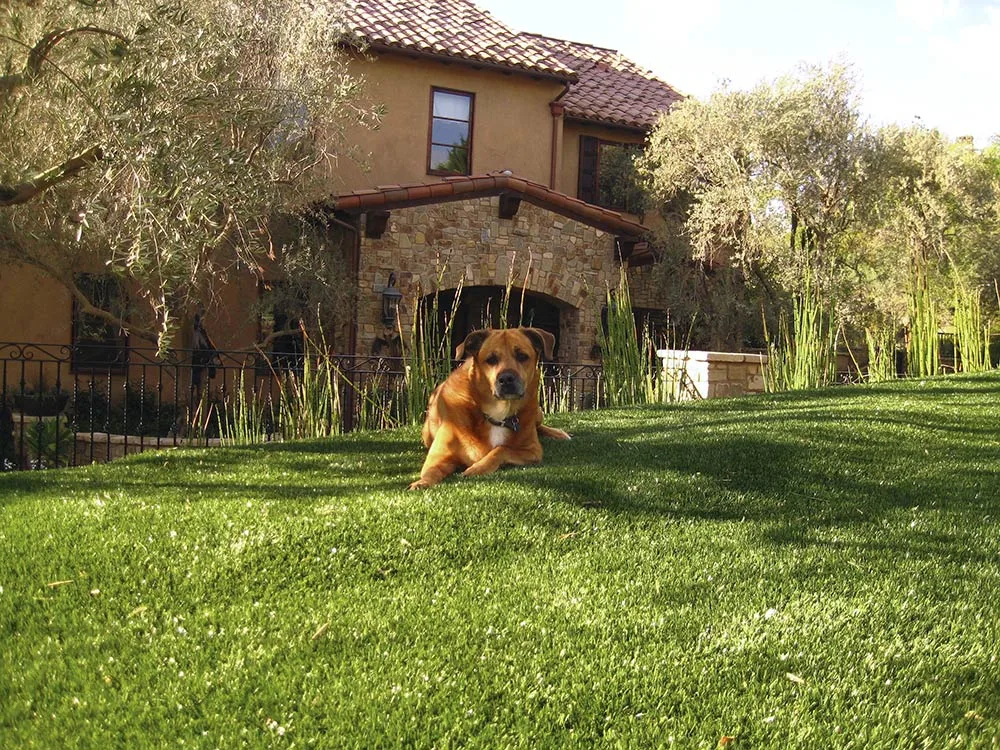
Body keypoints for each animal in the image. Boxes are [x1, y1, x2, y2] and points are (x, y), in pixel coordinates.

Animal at [408, 326, 572, 490]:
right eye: (491, 359)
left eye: (522, 356)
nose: (506, 378)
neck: (498, 415)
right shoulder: (439, 456)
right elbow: (432, 470)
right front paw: (422, 482)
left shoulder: (533, 451)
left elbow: (501, 449)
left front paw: (478, 467)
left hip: (538, 412)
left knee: (538, 427)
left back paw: (559, 433)